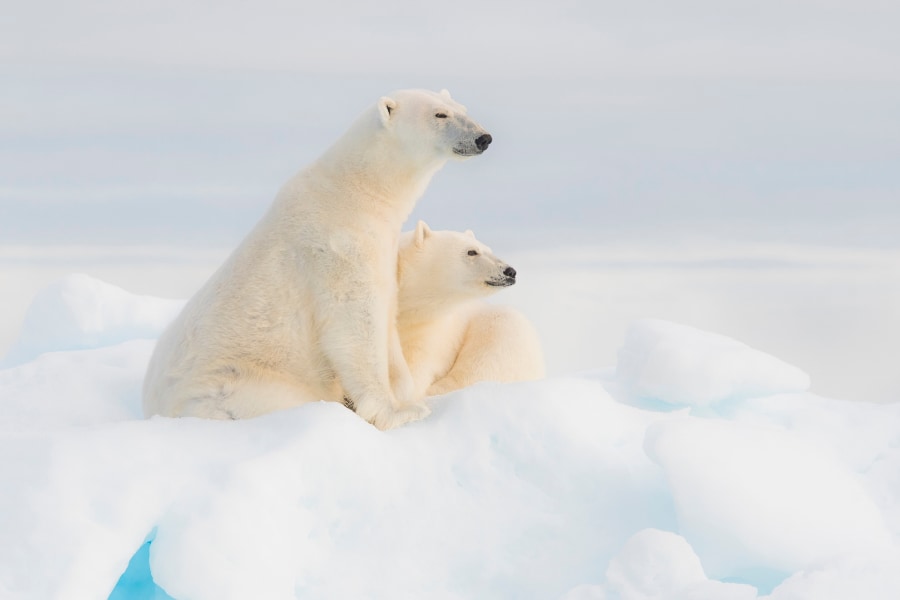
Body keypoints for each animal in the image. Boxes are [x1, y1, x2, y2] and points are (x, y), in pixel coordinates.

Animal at [142, 88, 492, 432]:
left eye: (461, 107)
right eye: (439, 114)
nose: (483, 138)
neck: (354, 191)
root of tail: (154, 409)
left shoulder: (382, 253)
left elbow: (388, 321)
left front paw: (406, 394)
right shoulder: (339, 249)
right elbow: (356, 326)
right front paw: (399, 412)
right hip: (241, 382)